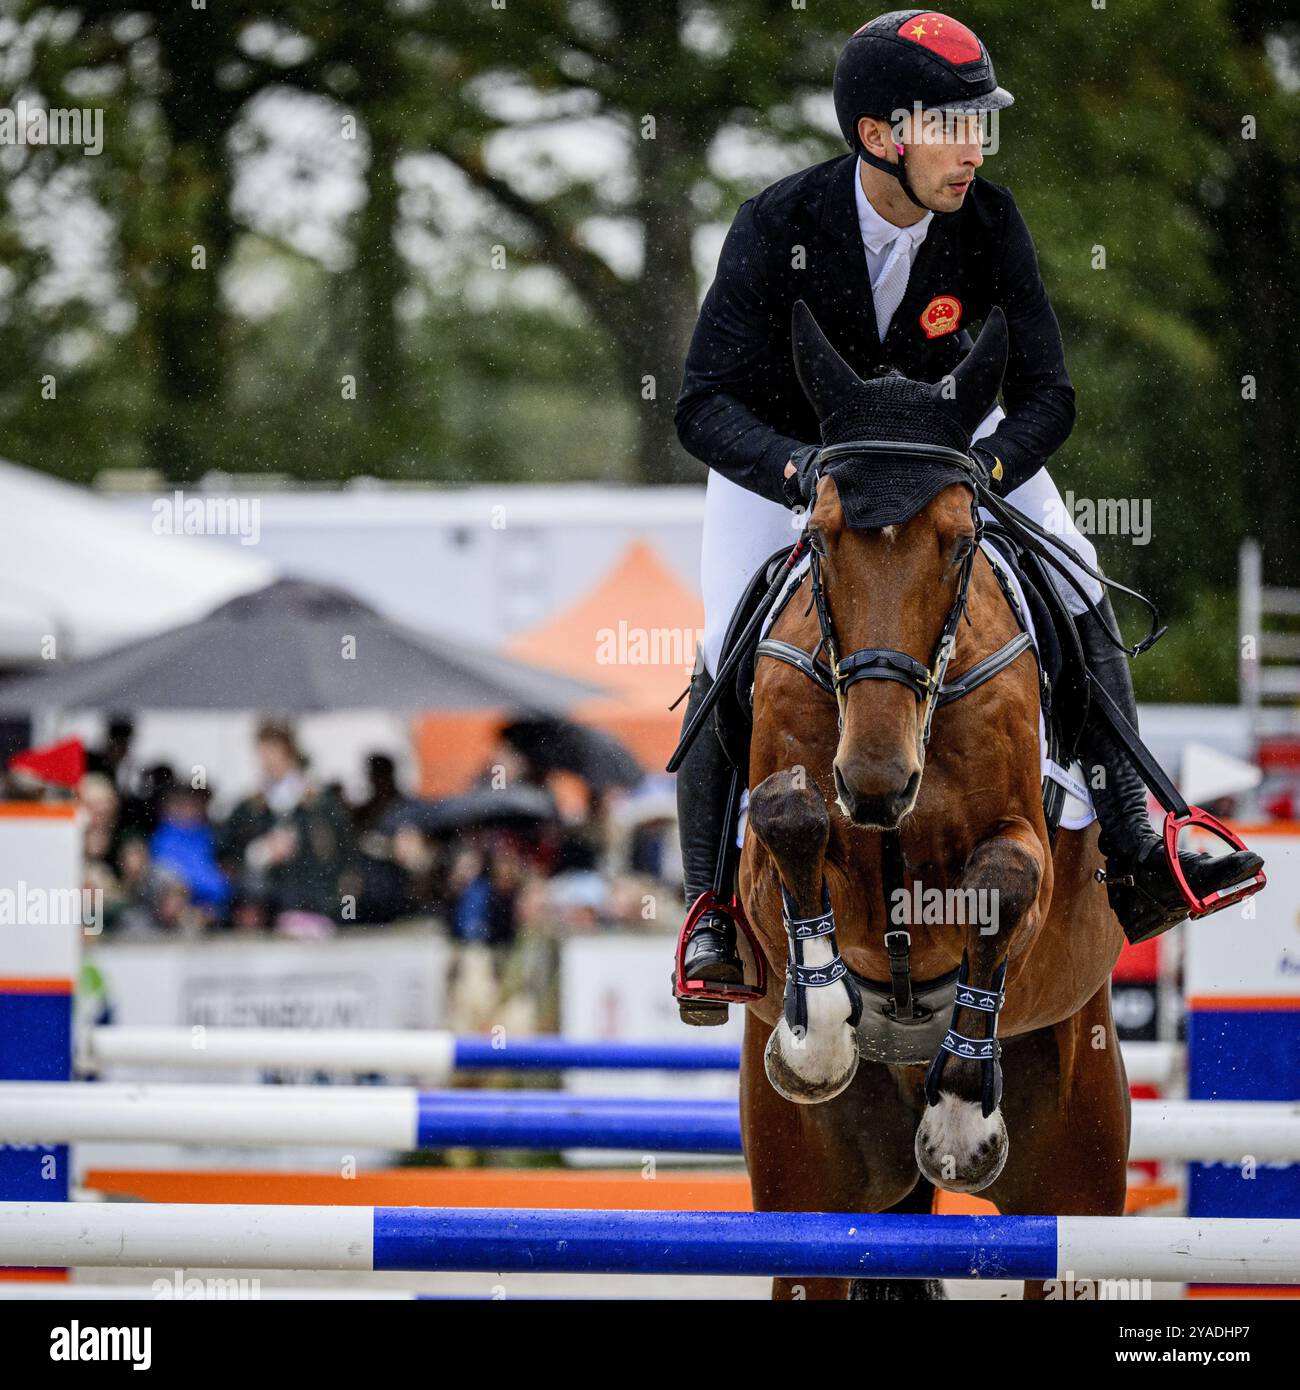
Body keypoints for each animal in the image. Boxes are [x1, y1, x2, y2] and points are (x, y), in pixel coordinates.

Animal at [739, 298, 1128, 1295]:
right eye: (820, 536)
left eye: (959, 541)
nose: (877, 783)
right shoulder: (761, 869)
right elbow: (789, 815)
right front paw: (819, 1032)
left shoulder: (1028, 851)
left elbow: (1002, 882)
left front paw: (959, 1115)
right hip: (809, 1189)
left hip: (1079, 1171)